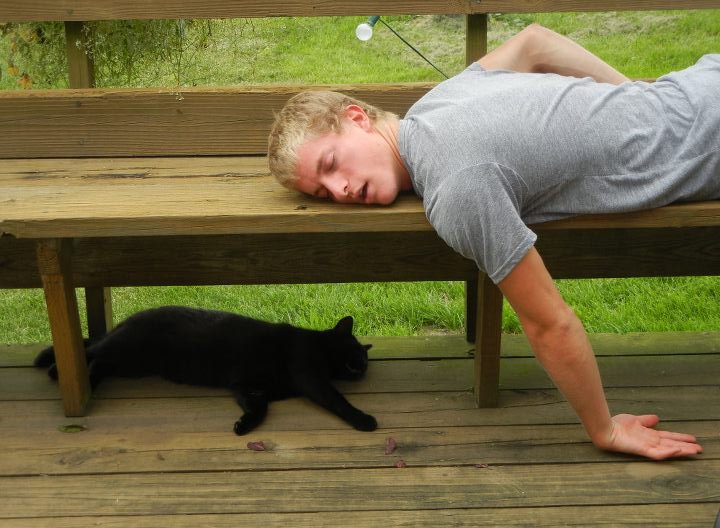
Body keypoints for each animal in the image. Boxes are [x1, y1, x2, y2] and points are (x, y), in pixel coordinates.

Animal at [34, 306, 377, 435]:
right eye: (355, 357)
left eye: (363, 361)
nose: (362, 369)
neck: (318, 342)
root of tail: (126, 321)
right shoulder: (309, 374)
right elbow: (336, 399)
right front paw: (364, 419)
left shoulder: (248, 387)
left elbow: (261, 408)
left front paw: (244, 425)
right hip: (124, 347)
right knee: (90, 352)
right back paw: (53, 369)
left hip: (128, 363)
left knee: (97, 363)